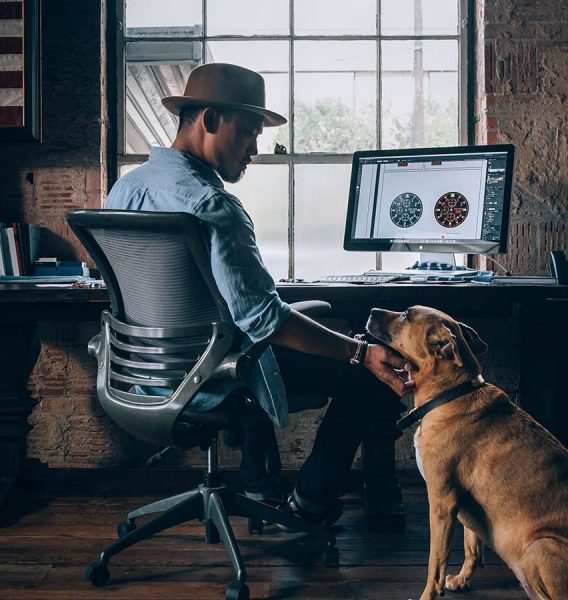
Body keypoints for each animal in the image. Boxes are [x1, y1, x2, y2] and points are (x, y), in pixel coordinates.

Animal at [366, 308, 568, 596]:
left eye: (406, 315)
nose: (372, 311)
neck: (451, 394)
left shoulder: (442, 503)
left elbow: (435, 566)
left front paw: (428, 595)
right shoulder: (464, 505)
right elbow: (472, 546)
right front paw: (462, 579)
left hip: (539, 546)